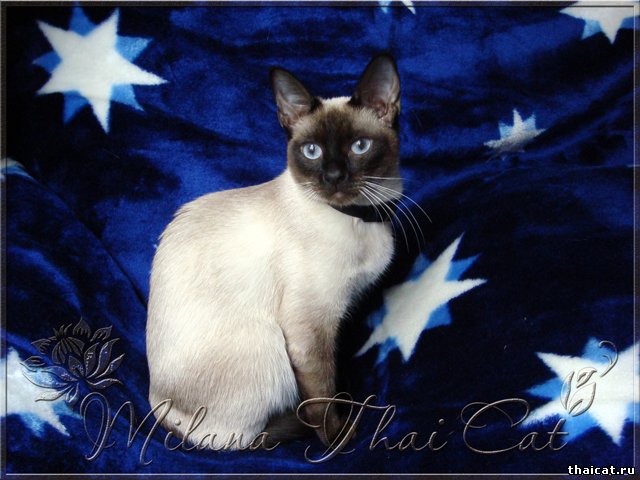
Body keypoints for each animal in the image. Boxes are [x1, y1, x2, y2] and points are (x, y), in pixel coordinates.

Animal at [146, 54, 402, 449]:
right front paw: (337, 439)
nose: (333, 177)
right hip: (270, 348)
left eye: (360, 146)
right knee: (247, 438)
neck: (358, 217)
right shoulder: (310, 329)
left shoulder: (340, 315)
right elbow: (322, 394)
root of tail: (156, 405)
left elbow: (334, 377)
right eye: (312, 151)